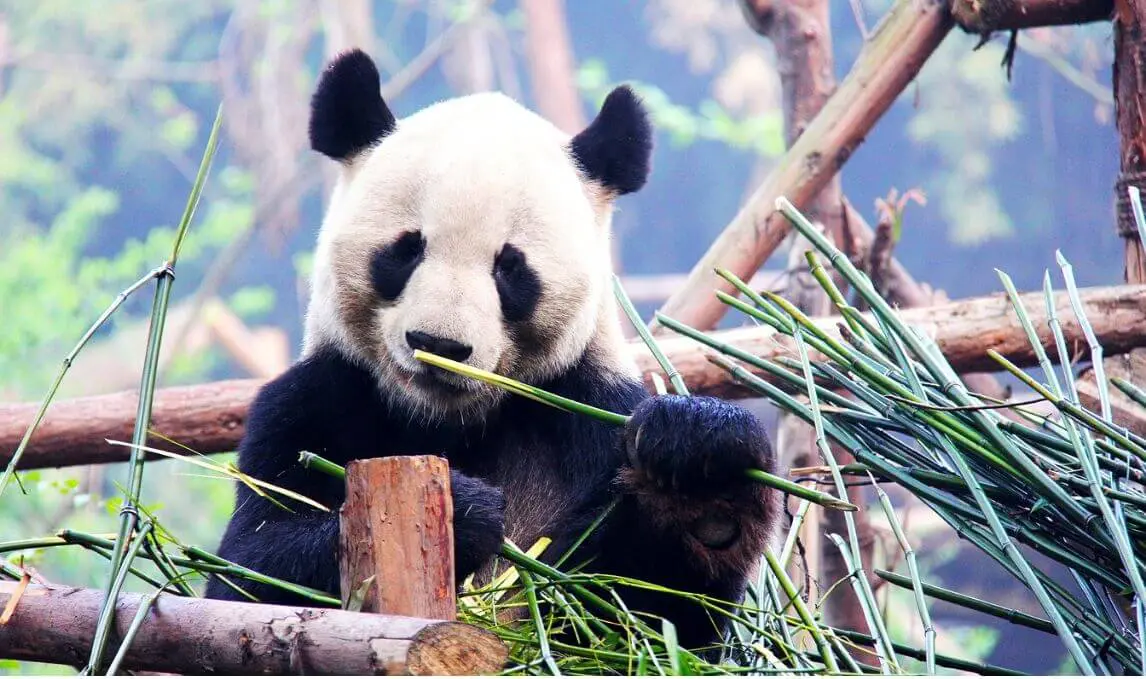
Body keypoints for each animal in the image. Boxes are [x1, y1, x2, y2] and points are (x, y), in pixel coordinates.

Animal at [205, 48, 780, 651]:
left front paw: (700, 466)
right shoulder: (312, 401)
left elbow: (650, 619)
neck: (448, 422)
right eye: (406, 250)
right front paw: (465, 512)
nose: (437, 344)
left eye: (510, 267)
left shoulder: (589, 410)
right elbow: (247, 573)